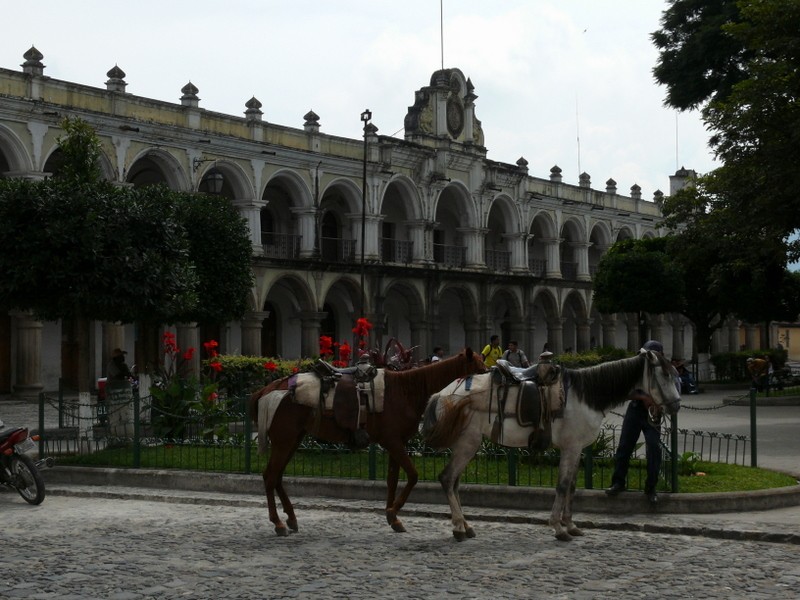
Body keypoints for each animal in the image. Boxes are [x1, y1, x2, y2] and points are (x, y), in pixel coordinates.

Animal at [247, 350, 484, 536]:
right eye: (479, 367)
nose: (492, 374)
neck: (405, 390)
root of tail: (266, 390)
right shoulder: (393, 441)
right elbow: (413, 475)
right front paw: (393, 511)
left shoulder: (395, 443)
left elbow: (392, 479)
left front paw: (393, 517)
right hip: (284, 439)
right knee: (270, 476)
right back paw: (278, 523)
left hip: (293, 439)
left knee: (277, 476)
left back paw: (291, 518)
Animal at [422, 350, 680, 540]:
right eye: (666, 375)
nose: (676, 405)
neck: (583, 395)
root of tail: (442, 394)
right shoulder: (571, 448)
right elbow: (563, 486)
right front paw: (558, 527)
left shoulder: (577, 450)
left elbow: (572, 487)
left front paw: (571, 525)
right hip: (469, 442)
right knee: (447, 478)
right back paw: (458, 528)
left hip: (467, 444)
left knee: (454, 482)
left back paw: (465, 525)